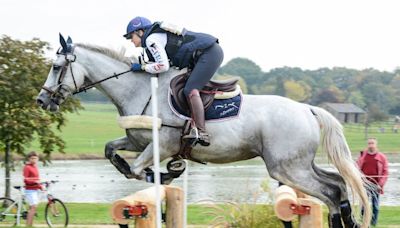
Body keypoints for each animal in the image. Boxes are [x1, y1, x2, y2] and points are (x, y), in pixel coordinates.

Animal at [37, 36, 372, 227]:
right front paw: (163, 173)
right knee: (338, 184)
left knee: (330, 192)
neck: (139, 89)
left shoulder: (162, 145)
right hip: (301, 164)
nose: (42, 100)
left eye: (56, 66)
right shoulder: (136, 140)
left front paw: (166, 174)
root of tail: (307, 109)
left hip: (286, 167)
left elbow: (136, 170)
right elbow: (111, 151)